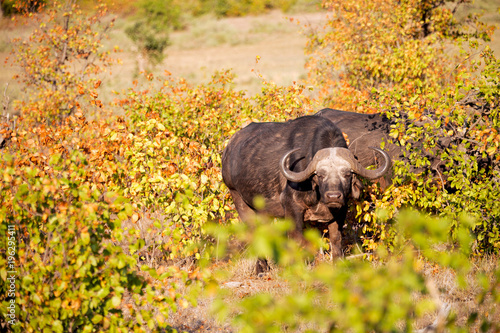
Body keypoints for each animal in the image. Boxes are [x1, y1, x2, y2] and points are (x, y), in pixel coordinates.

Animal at [222, 114, 390, 270]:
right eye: (320, 175)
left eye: (347, 174)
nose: (333, 196)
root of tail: (229, 149)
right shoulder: (292, 207)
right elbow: (297, 239)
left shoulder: (341, 209)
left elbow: (336, 238)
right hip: (239, 199)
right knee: (253, 233)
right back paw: (261, 269)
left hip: (263, 210)